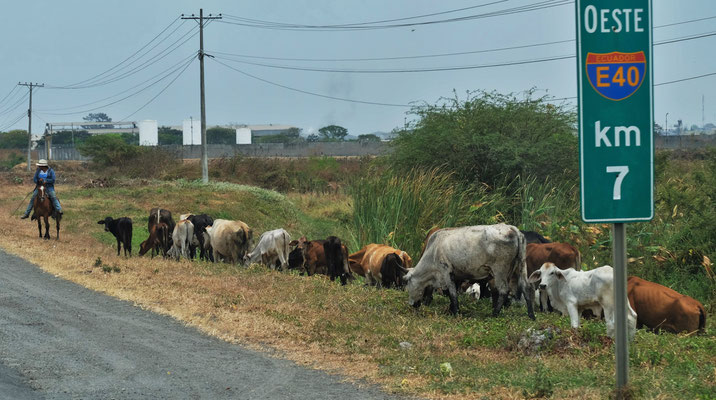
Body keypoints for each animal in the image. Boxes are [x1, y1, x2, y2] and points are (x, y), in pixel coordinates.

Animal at [402, 225, 532, 318]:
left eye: (408, 282)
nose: (412, 305)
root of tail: (513, 229)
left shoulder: (446, 271)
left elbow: (452, 293)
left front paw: (455, 312)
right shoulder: (456, 275)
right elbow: (453, 293)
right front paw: (451, 310)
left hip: (500, 270)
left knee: (504, 290)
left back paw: (494, 314)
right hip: (518, 266)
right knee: (525, 287)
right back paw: (531, 316)